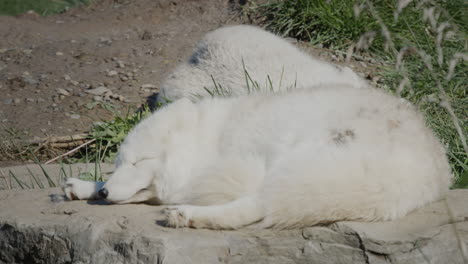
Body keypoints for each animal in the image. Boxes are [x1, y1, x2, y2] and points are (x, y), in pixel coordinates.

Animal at [64, 86, 452, 229]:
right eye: (119, 163)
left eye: (139, 162)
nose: (104, 194)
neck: (212, 140)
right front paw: (84, 187)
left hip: (293, 159)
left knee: (257, 207)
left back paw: (187, 216)